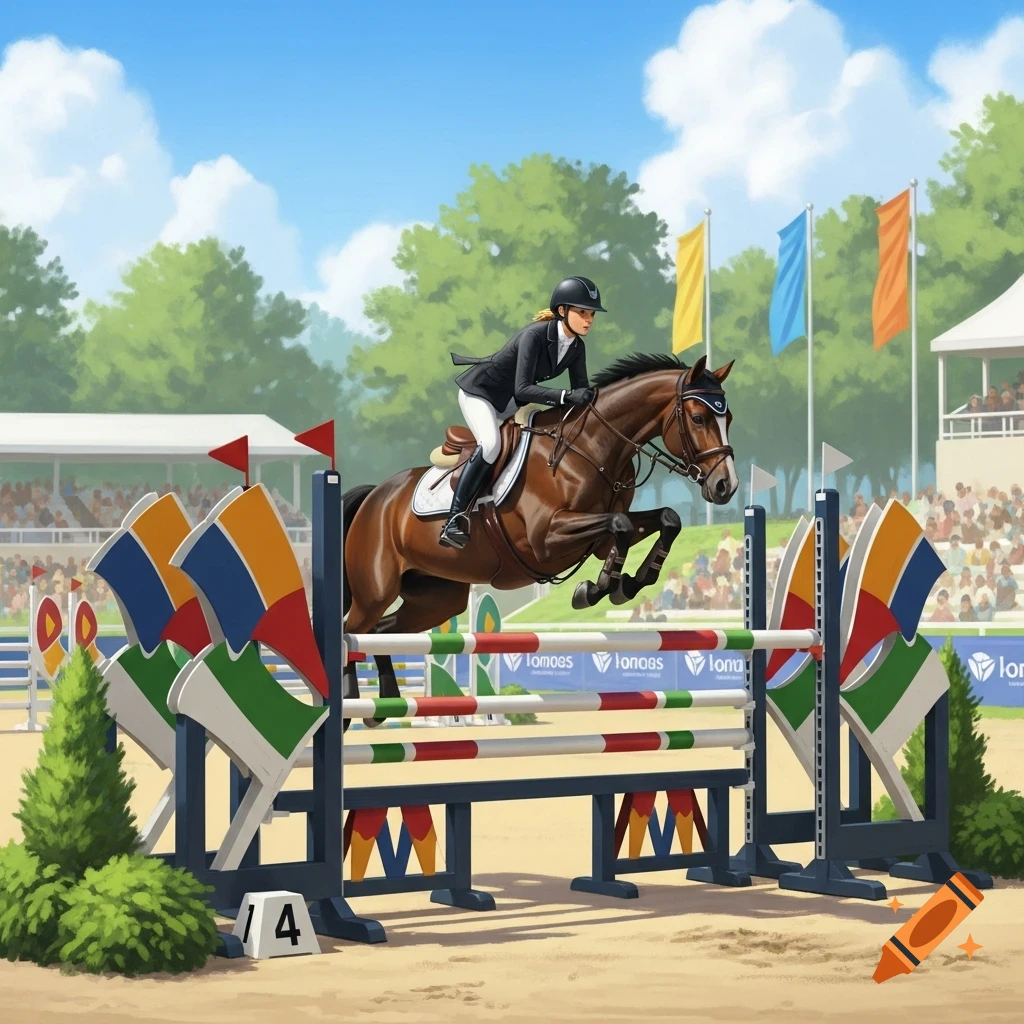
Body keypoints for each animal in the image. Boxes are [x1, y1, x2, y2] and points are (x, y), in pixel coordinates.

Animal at [341, 353, 738, 725]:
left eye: (729, 418)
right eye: (699, 418)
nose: (726, 486)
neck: (592, 448)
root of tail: (375, 495)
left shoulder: (597, 542)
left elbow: (664, 520)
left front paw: (626, 584)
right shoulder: (545, 539)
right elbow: (621, 525)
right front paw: (595, 589)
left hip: (437, 598)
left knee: (381, 631)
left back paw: (383, 705)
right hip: (376, 590)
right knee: (352, 632)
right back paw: (349, 708)